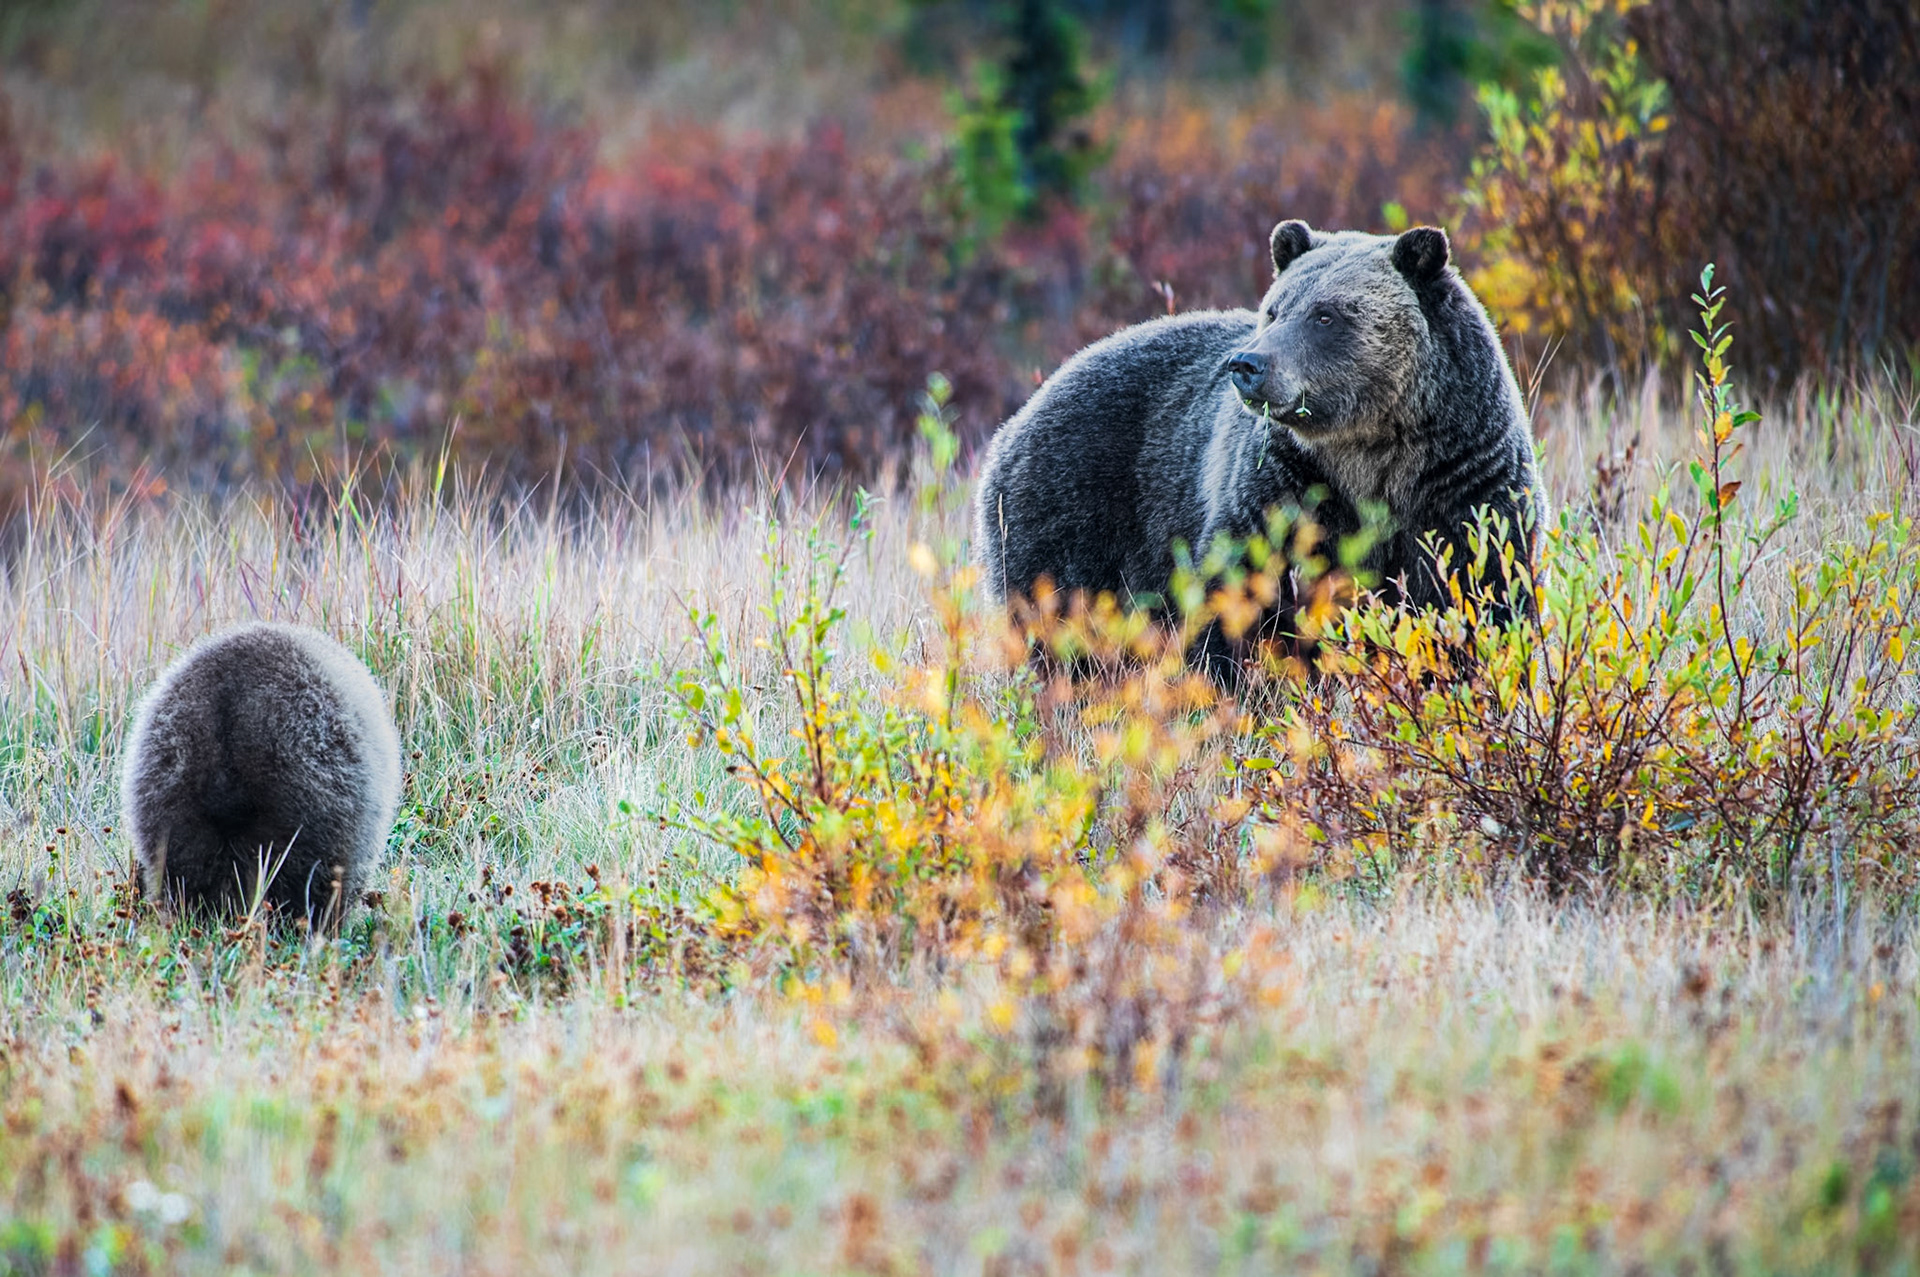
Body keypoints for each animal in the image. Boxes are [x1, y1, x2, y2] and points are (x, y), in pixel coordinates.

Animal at [973, 218, 1545, 680]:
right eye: (1274, 309)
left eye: (1326, 315)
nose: (1247, 364)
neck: (1372, 451)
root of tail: (1017, 417)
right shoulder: (1285, 490)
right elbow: (1237, 595)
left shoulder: (1464, 483)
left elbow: (1482, 593)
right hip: (1069, 511)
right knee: (1060, 625)